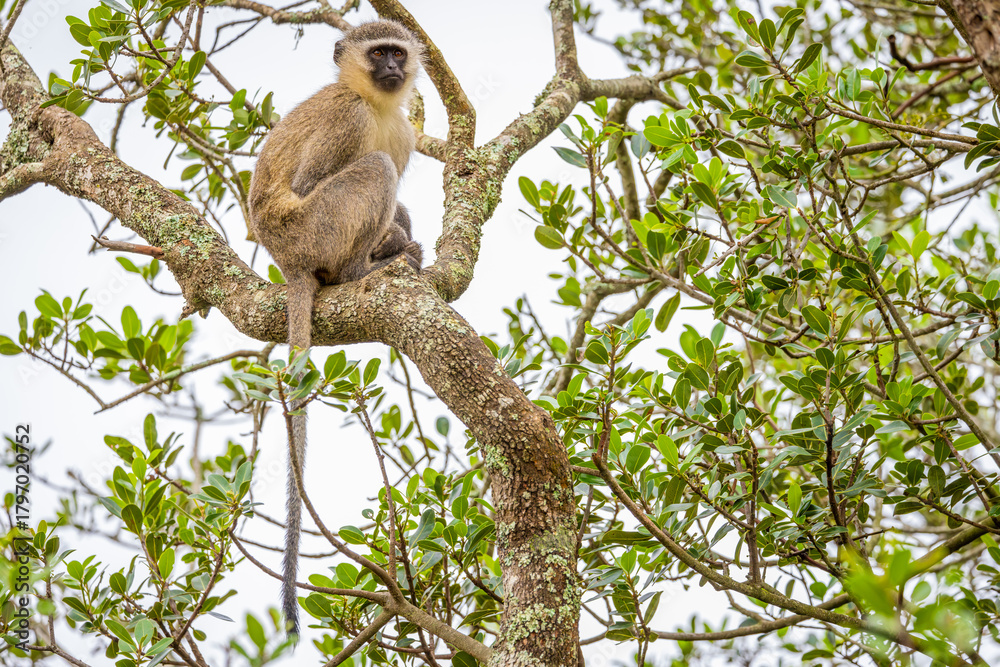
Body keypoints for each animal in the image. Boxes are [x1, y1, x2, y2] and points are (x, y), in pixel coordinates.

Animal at [246, 19, 424, 636]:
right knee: (374, 171)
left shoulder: (406, 131)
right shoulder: (346, 118)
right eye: (379, 54)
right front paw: (390, 247)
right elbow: (310, 179)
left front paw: (402, 238)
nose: (393, 68)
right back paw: (360, 269)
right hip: (314, 229)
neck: (377, 104)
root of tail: (288, 262)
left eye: (398, 53)